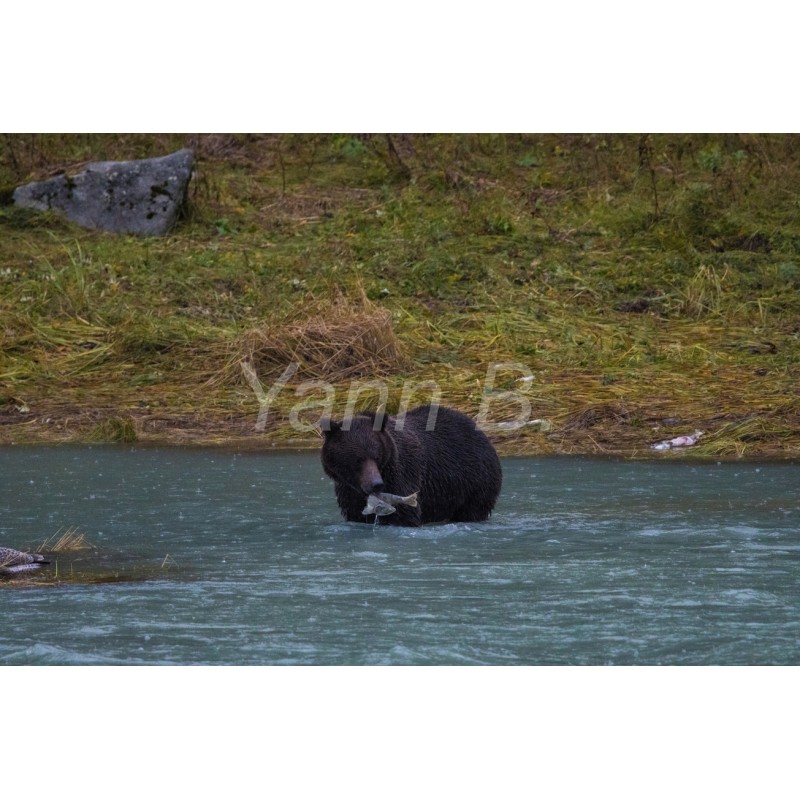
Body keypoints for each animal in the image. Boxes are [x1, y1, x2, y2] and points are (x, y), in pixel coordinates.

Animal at [318, 404, 500, 528]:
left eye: (376, 456)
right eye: (357, 459)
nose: (376, 484)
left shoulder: (403, 475)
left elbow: (404, 515)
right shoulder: (349, 492)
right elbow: (356, 513)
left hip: (474, 481)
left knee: (473, 509)